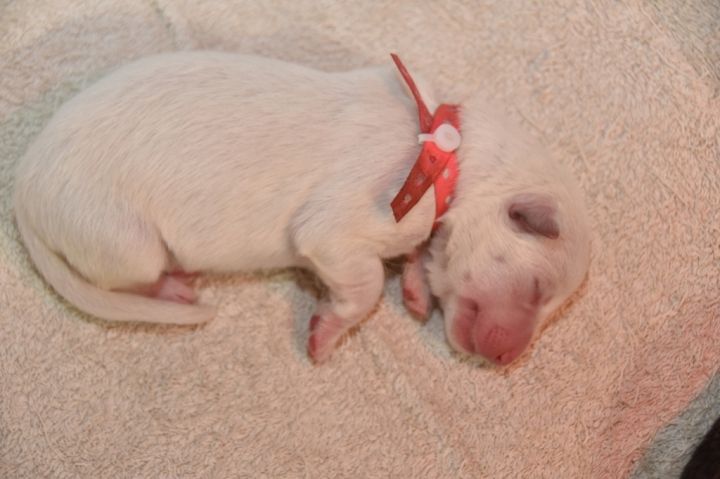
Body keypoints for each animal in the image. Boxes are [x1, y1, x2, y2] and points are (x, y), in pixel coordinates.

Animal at [13, 51, 591, 365]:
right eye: (537, 289)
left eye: (550, 303)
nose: (506, 359)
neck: (447, 153)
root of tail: (23, 187)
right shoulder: (337, 228)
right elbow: (364, 286)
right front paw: (327, 330)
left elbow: (420, 259)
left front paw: (416, 288)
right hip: (126, 240)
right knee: (129, 278)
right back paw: (175, 286)